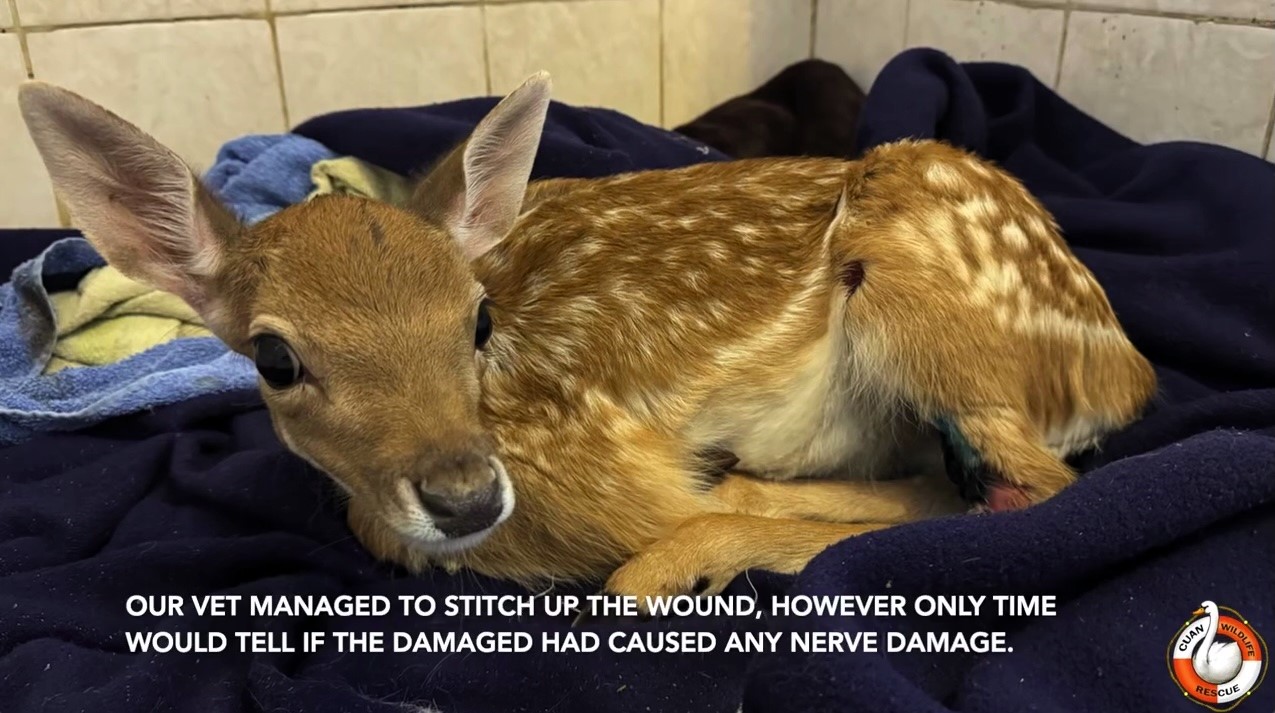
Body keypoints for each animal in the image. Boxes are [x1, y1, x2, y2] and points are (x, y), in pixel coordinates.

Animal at [17, 72, 1155, 608]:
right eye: (275, 358)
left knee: (1025, 492)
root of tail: (1128, 366)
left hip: (918, 289)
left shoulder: (612, 469)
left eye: (475, 317)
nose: (465, 493)